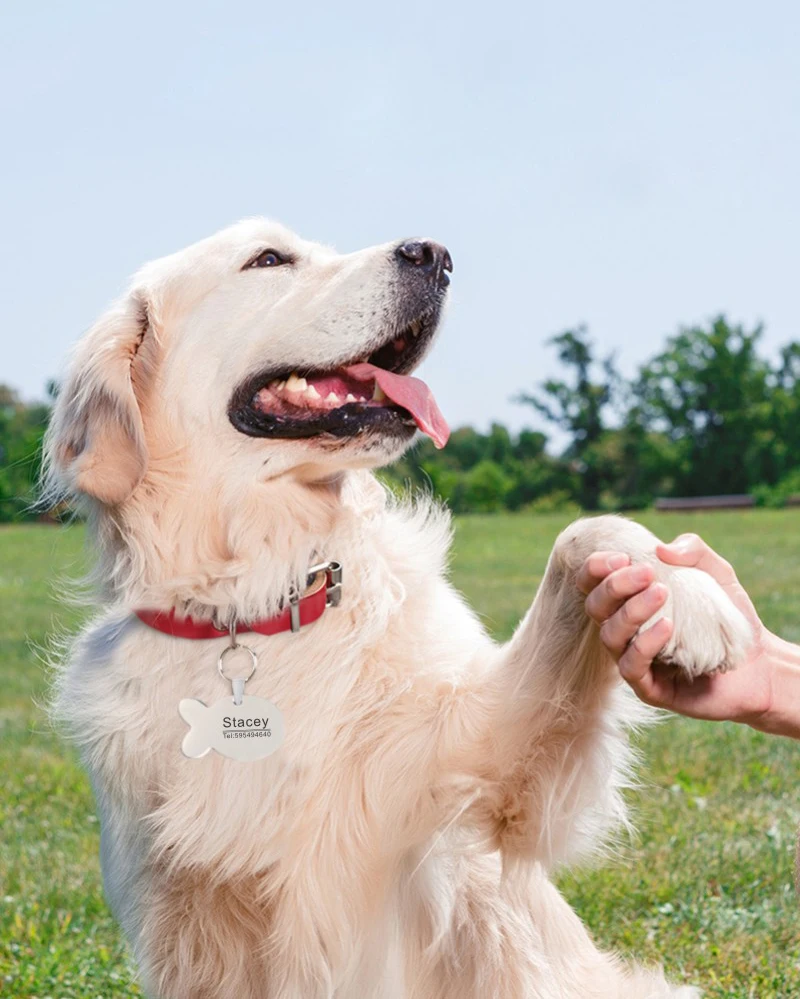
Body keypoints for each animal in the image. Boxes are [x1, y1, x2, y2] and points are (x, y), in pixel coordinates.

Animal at [47, 221, 752, 999]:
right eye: (268, 258)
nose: (435, 255)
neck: (260, 603)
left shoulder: (475, 777)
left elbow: (581, 531)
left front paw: (686, 594)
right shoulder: (189, 923)